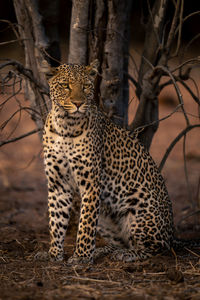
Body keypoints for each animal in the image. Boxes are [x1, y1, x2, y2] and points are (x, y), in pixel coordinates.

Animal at [42, 59, 194, 264]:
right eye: (65, 86)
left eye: (86, 86)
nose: (78, 103)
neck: (65, 125)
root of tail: (172, 234)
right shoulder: (58, 183)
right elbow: (56, 222)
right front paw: (53, 254)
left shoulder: (91, 183)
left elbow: (86, 224)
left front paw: (81, 257)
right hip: (105, 218)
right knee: (122, 242)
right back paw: (104, 250)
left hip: (140, 211)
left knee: (157, 248)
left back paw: (127, 255)